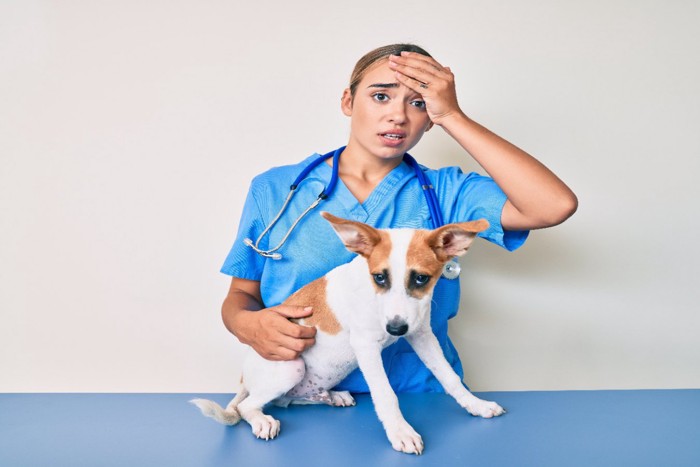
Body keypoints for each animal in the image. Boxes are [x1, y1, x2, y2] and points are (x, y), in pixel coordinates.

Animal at [193, 212, 504, 454]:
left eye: (421, 278)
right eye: (379, 277)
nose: (395, 329)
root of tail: (244, 377)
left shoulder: (422, 334)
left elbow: (449, 378)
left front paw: (476, 405)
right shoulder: (366, 346)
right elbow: (385, 394)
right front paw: (401, 432)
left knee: (285, 399)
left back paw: (333, 397)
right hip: (291, 367)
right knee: (248, 406)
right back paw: (262, 420)